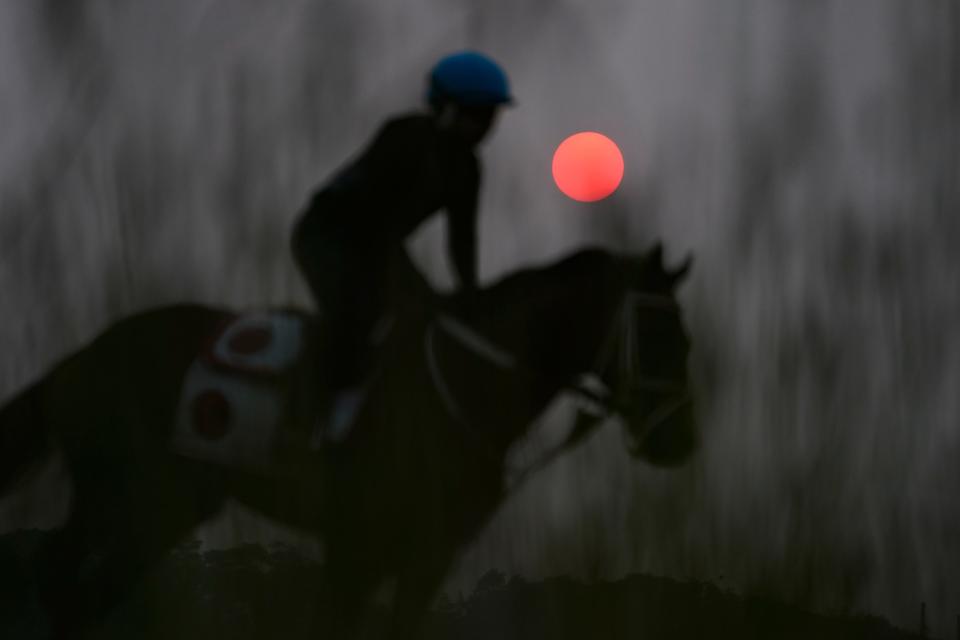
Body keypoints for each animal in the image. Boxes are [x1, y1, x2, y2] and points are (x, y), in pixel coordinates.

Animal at [0, 242, 688, 636]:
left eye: (681, 330)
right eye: (654, 327)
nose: (677, 437)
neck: (465, 383)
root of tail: (78, 361)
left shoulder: (425, 557)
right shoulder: (358, 545)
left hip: (145, 503)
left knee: (69, 587)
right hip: (141, 498)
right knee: (68, 585)